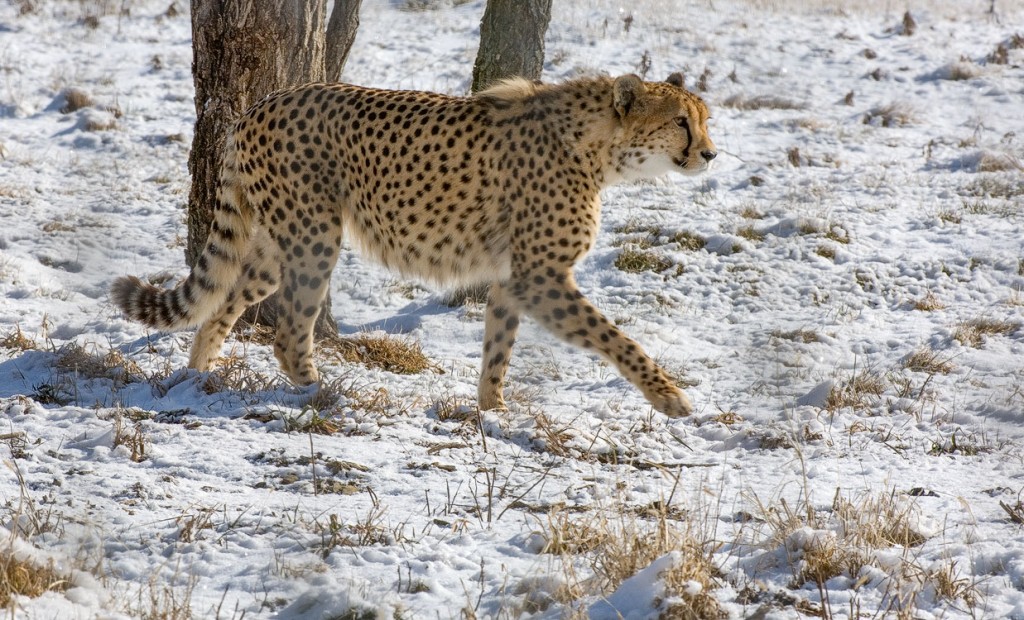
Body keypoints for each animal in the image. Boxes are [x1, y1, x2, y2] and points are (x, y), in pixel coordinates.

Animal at [112, 72, 717, 418]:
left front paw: (492, 410)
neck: (598, 144)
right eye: (680, 122)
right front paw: (669, 397)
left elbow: (499, 348)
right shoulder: (542, 276)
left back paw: (198, 373)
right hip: (314, 236)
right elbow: (616, 337)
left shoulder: (512, 277)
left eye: (704, 120)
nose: (710, 154)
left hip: (273, 245)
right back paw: (321, 395)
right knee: (287, 332)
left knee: (225, 300)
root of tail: (258, 104)